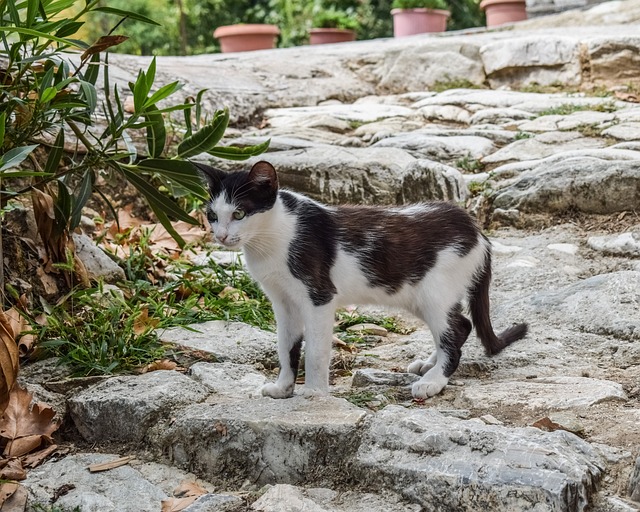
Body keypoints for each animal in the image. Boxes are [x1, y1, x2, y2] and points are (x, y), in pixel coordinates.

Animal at [198, 160, 528, 400]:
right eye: (212, 214)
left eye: (240, 213)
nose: (221, 236)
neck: (271, 238)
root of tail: (476, 230)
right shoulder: (282, 300)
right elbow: (286, 345)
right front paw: (283, 387)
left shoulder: (319, 295)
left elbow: (315, 350)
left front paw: (314, 392)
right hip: (418, 294)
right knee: (458, 326)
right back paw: (430, 364)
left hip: (434, 290)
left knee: (457, 328)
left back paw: (433, 382)